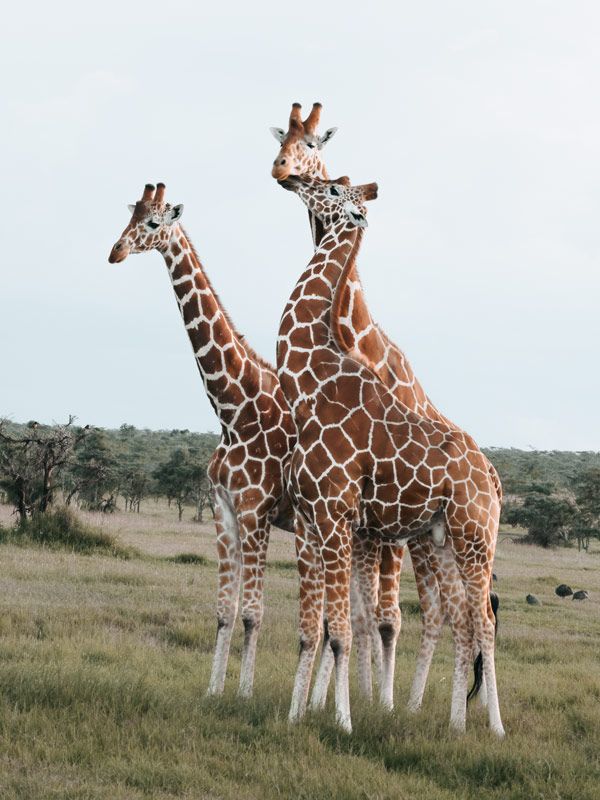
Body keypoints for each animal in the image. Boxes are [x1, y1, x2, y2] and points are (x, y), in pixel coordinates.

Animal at [108, 182, 297, 698]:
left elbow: (253, 612)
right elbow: (224, 610)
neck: (235, 410)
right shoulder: (223, 510)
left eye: (154, 223)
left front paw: (245, 694)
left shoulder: (256, 513)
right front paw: (214, 691)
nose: (116, 251)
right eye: (129, 215)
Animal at [271, 102, 501, 711]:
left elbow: (346, 628)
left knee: (477, 621)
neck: (311, 375)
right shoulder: (322, 519)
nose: (286, 176)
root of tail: (495, 482)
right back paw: (450, 719)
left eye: (327, 179)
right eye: (283, 140)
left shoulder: (336, 515)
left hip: (471, 539)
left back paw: (477, 721)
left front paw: (343, 717)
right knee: (463, 618)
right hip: (443, 540)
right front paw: (300, 713)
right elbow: (327, 625)